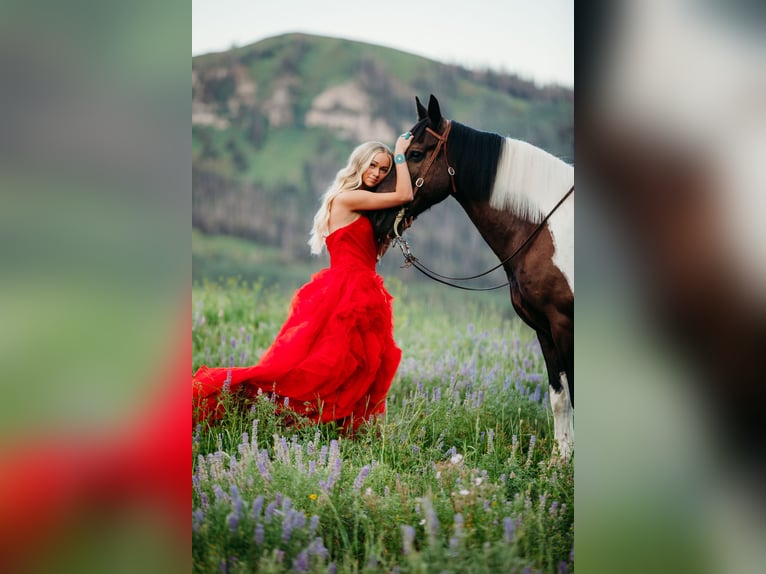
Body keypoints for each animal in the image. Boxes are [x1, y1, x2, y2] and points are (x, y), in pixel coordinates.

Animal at [372, 94, 576, 464]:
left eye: (416, 153)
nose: (376, 215)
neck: (546, 230)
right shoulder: (545, 329)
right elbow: (559, 395)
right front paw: (560, 459)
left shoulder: (564, 323)